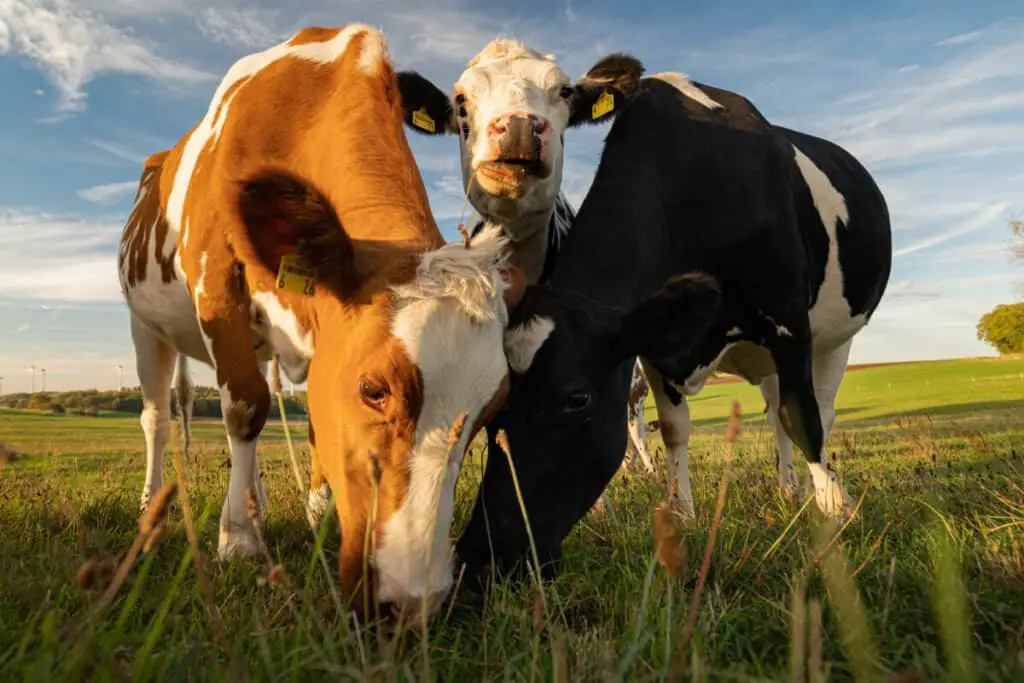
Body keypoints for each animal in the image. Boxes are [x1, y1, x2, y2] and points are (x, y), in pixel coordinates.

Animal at [117, 24, 516, 618]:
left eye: (493, 408)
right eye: (374, 389)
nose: (411, 603)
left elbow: (302, 421)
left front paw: (315, 514)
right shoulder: (216, 279)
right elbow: (244, 405)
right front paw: (238, 540)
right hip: (146, 325)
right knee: (158, 418)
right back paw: (153, 506)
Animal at [468, 69, 892, 581]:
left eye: (576, 399)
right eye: (496, 404)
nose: (483, 556)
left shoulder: (789, 324)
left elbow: (804, 419)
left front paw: (836, 508)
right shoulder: (657, 347)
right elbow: (676, 429)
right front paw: (681, 512)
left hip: (835, 338)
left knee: (815, 411)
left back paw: (814, 489)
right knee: (774, 412)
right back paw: (788, 487)